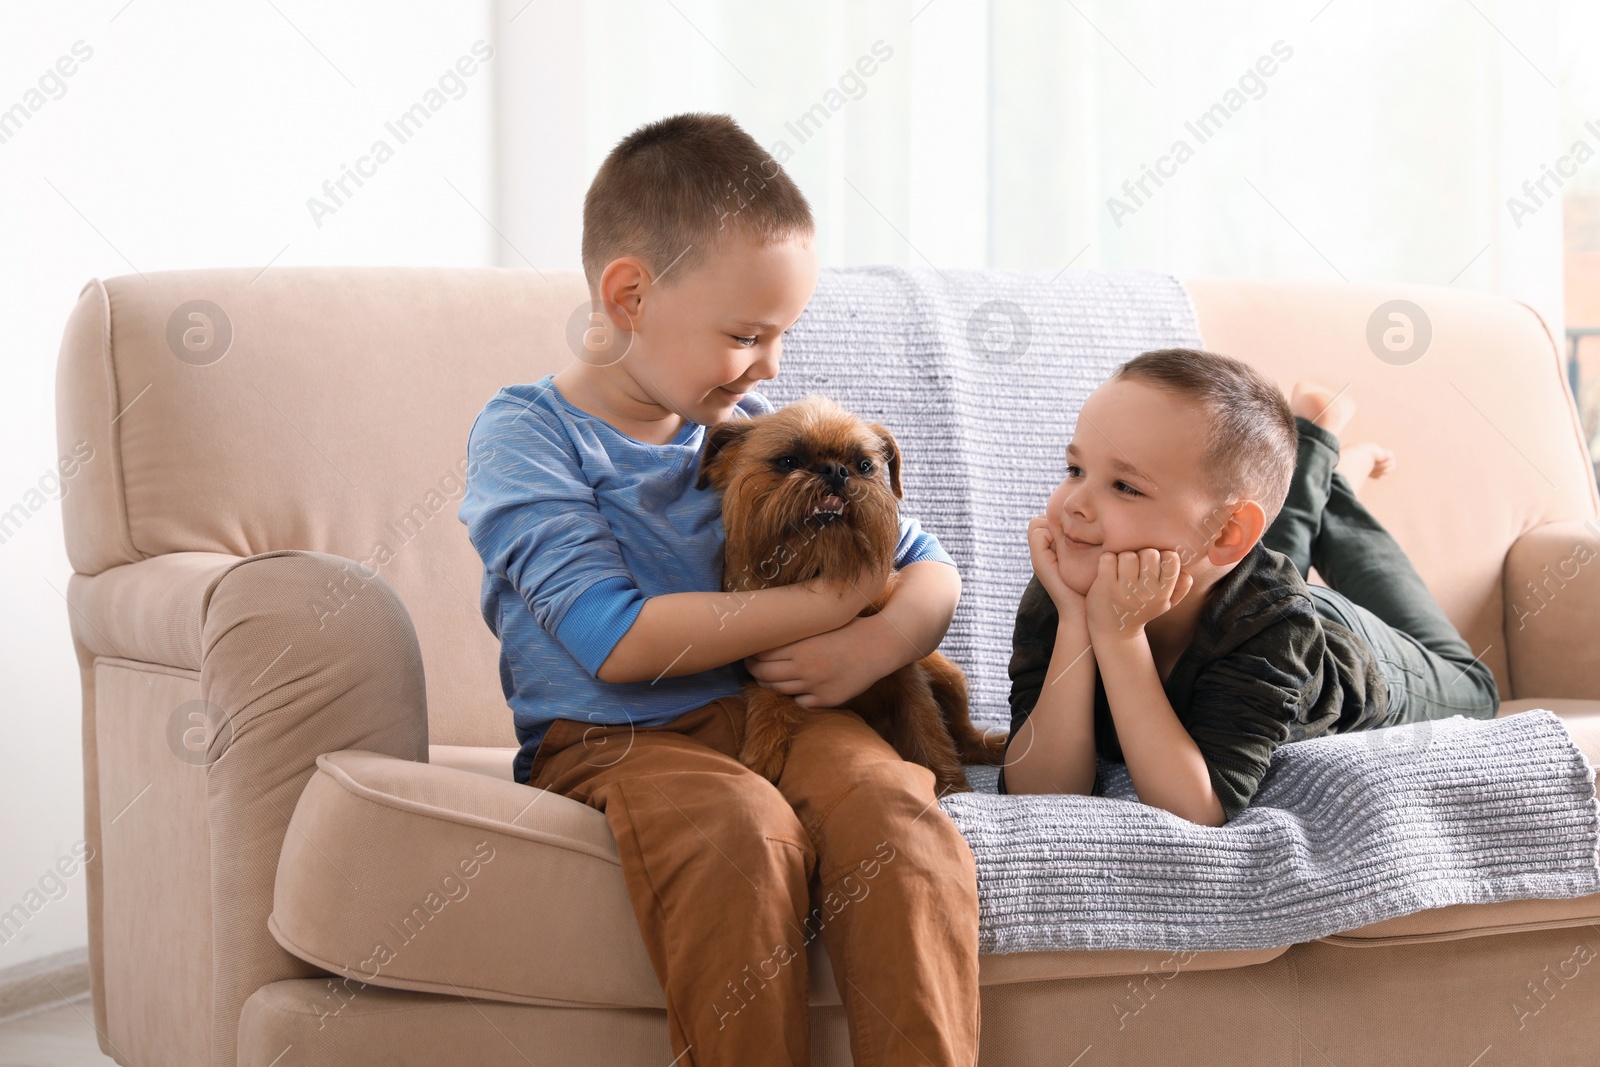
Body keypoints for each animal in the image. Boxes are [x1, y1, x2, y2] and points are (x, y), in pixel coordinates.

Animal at [694, 396, 1004, 796]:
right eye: (788, 461)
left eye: (864, 465)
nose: (836, 470)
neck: (820, 568)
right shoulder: (764, 664)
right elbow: (768, 701)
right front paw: (762, 752)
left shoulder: (903, 670)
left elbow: (926, 728)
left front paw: (950, 785)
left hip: (948, 675)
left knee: (963, 735)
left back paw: (991, 748)